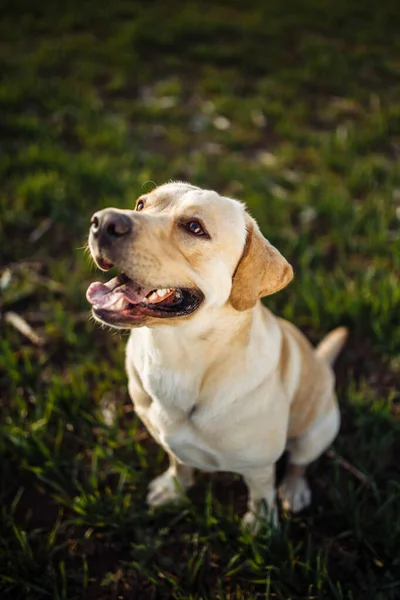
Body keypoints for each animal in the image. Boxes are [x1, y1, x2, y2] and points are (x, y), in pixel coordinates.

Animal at [86, 180, 346, 532]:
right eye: (141, 204)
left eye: (195, 228)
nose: (101, 221)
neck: (175, 355)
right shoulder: (170, 442)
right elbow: (179, 464)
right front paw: (174, 488)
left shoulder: (259, 466)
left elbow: (261, 493)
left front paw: (260, 524)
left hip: (317, 431)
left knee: (298, 463)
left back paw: (293, 489)